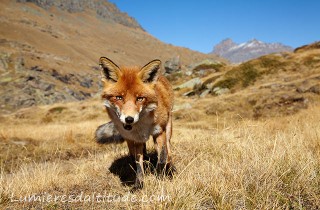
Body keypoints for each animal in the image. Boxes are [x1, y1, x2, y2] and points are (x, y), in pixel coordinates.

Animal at [96, 57, 174, 189]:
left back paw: (170, 167)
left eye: (140, 98)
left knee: (168, 150)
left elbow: (162, 158)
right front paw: (139, 184)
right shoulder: (136, 139)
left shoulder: (159, 132)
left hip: (168, 128)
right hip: (129, 138)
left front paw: (161, 177)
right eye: (119, 97)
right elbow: (138, 165)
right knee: (135, 155)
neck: (143, 126)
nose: (129, 119)